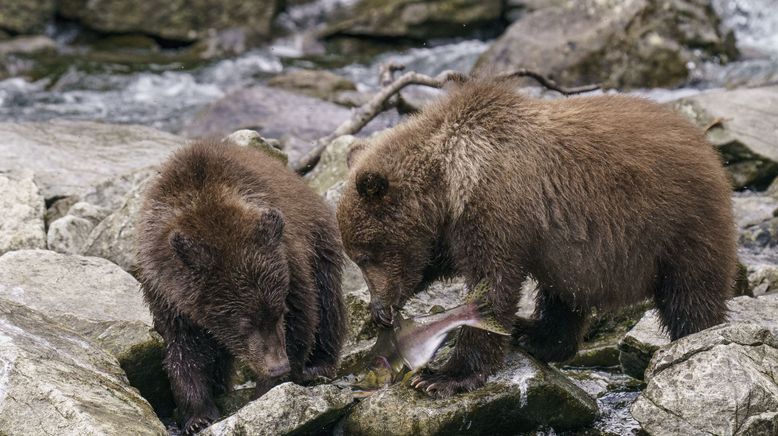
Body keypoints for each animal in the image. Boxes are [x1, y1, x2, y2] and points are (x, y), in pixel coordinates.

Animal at [136, 139, 346, 432]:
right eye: (244, 322)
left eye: (278, 312)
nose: (278, 366)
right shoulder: (166, 292)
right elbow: (184, 349)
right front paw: (198, 416)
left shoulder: (290, 260)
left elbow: (302, 318)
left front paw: (268, 389)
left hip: (319, 240)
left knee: (327, 303)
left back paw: (320, 365)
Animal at [334, 77, 732, 398]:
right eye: (356, 256)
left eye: (366, 254)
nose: (381, 306)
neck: (449, 183)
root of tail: (705, 144)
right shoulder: (455, 229)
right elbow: (440, 262)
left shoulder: (497, 209)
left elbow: (492, 285)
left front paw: (441, 376)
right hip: (574, 252)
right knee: (563, 296)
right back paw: (534, 334)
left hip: (678, 227)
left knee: (691, 296)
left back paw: (695, 338)